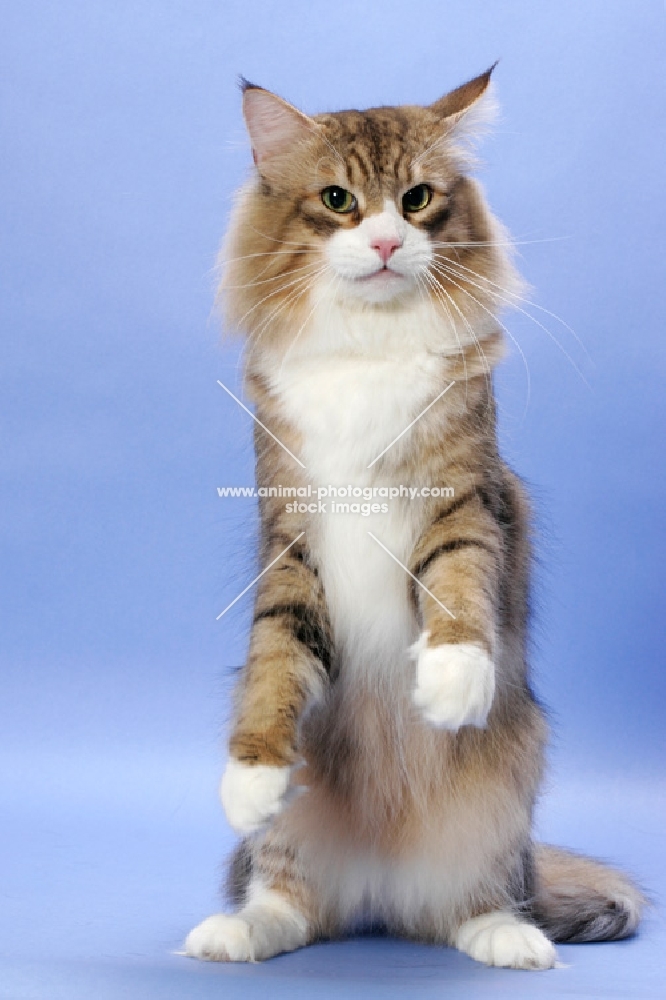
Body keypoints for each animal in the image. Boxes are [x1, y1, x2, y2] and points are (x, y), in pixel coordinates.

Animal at [183, 68, 644, 968]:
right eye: (338, 200)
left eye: (418, 199)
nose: (389, 245)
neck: (368, 351)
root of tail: (380, 889)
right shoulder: (290, 535)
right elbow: (275, 656)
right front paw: (249, 777)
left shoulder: (464, 497)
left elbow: (457, 589)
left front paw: (450, 680)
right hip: (298, 846)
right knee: (292, 904)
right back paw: (236, 931)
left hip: (504, 803)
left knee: (475, 904)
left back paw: (511, 940)